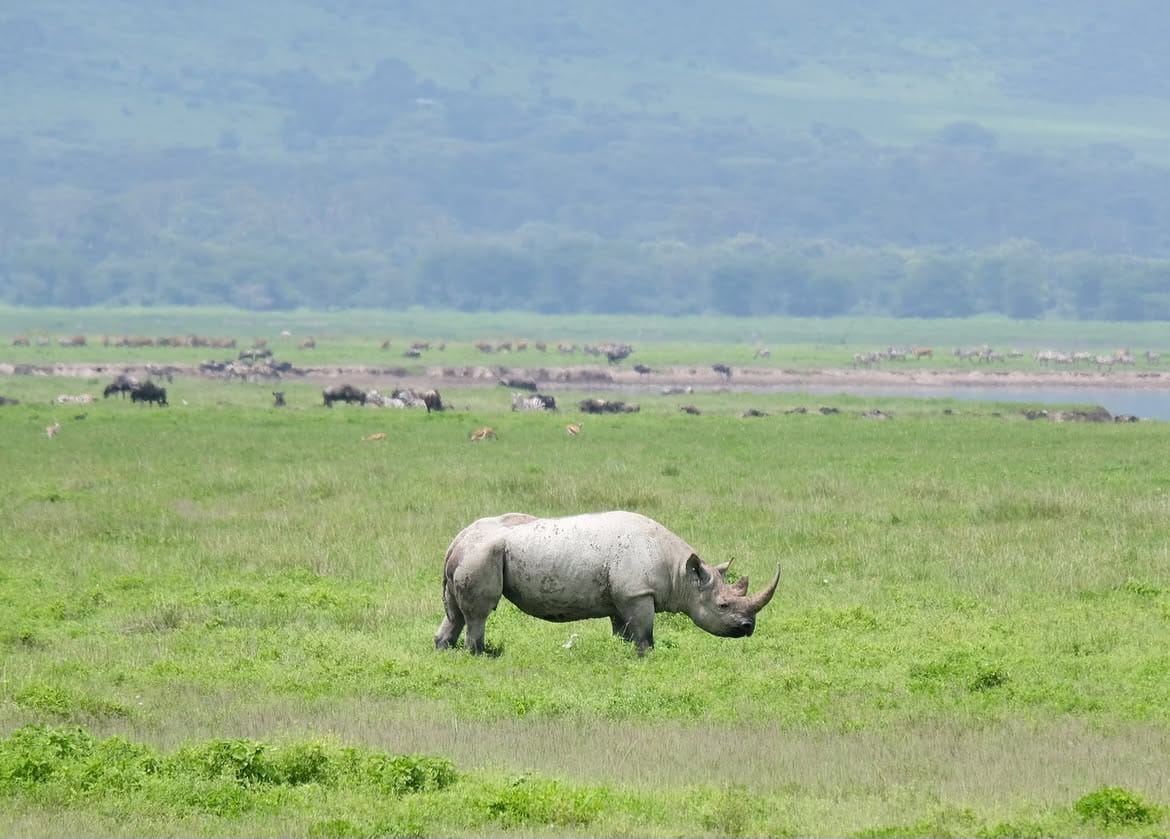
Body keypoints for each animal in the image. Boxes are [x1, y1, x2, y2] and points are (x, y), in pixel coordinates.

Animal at [434, 511, 781, 656]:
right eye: (723, 605)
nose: (748, 627)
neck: (681, 573)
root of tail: (456, 540)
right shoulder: (638, 594)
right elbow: (644, 636)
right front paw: (646, 659)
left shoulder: (622, 597)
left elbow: (623, 633)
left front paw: (622, 654)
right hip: (483, 553)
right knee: (479, 613)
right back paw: (482, 655)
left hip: (472, 552)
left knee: (455, 613)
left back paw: (445, 651)